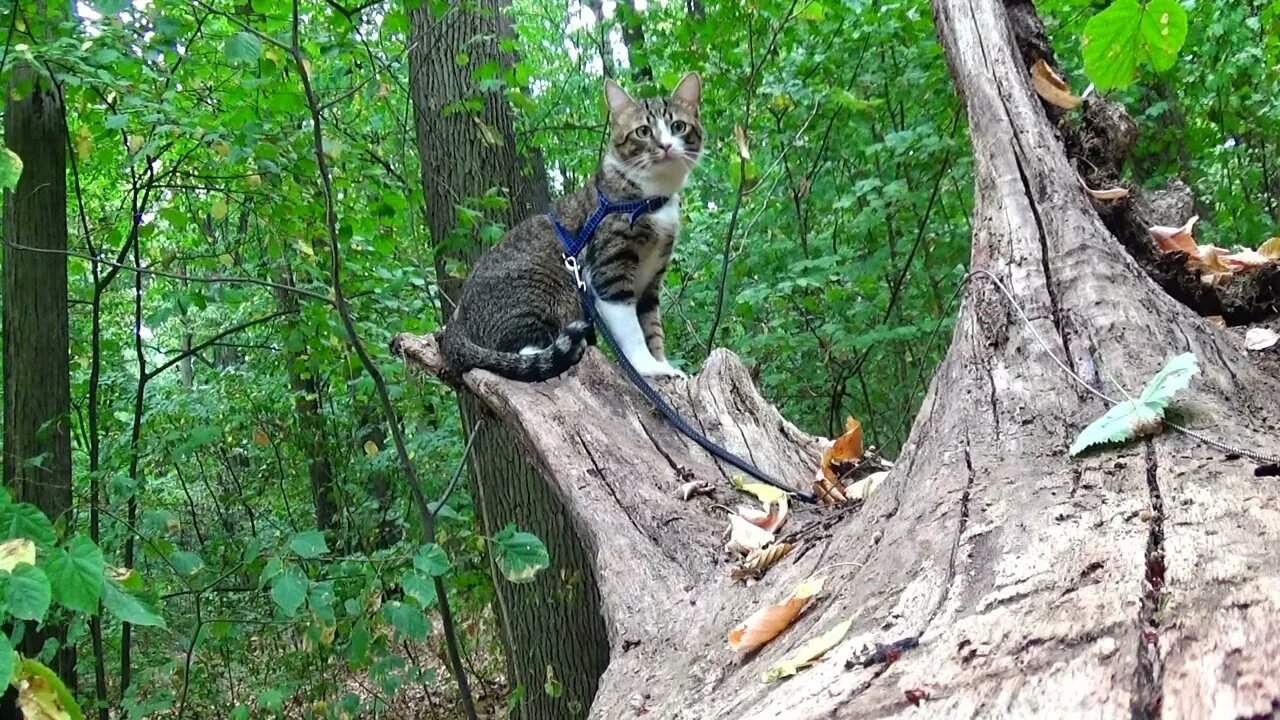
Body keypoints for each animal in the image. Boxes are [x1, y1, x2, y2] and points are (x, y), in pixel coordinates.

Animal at [437, 74, 701, 381]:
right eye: (644, 132)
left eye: (678, 126)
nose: (665, 146)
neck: (651, 199)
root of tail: (457, 321)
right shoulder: (609, 271)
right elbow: (631, 330)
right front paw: (648, 367)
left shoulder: (651, 281)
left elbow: (652, 327)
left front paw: (663, 363)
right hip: (542, 287)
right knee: (518, 352)